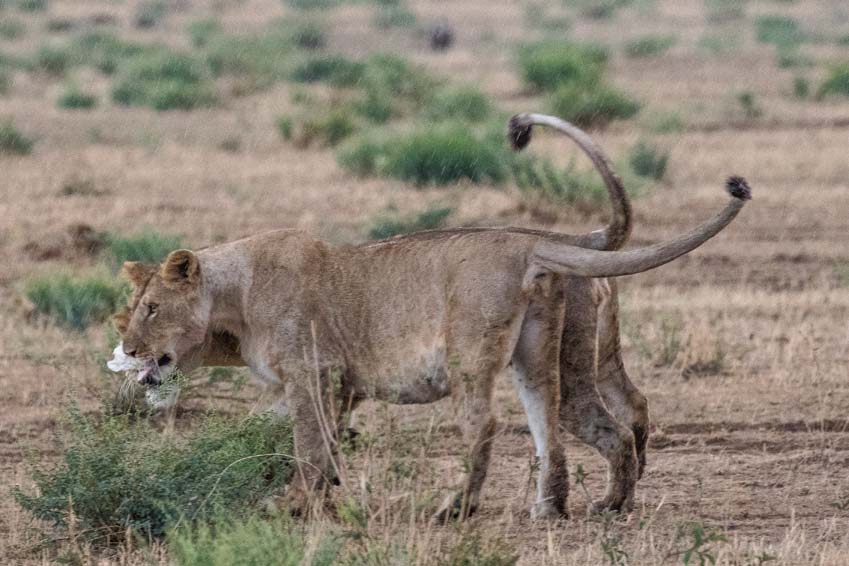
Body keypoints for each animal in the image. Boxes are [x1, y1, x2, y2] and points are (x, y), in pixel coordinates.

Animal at [111, 173, 748, 524]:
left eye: (152, 308)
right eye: (133, 309)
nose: (128, 349)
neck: (232, 300)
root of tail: (530, 247)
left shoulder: (315, 372)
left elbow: (306, 445)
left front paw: (292, 506)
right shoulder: (334, 383)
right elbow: (308, 442)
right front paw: (321, 499)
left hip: (470, 355)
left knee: (486, 426)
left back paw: (454, 509)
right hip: (546, 359)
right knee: (582, 425)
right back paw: (579, 507)